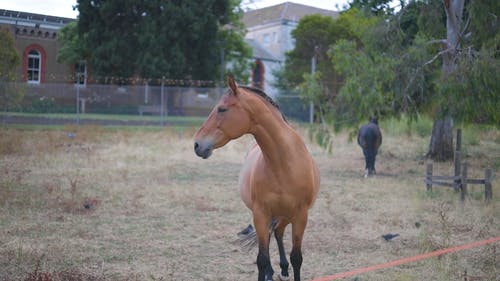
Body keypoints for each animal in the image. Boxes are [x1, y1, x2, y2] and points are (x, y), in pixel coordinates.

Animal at [193, 76, 318, 280]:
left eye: (222, 109)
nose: (197, 144)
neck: (284, 165)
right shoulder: (260, 214)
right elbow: (262, 258)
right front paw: (267, 271)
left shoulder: (301, 215)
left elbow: (297, 258)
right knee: (273, 235)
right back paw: (273, 271)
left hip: (285, 215)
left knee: (278, 233)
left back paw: (283, 268)